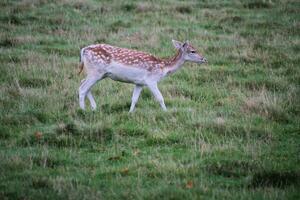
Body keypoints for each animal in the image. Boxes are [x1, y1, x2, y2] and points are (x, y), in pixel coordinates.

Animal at [78, 39, 207, 111]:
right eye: (193, 51)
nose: (204, 59)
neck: (163, 68)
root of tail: (84, 50)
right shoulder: (151, 80)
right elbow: (160, 98)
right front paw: (166, 112)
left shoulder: (139, 83)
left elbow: (134, 99)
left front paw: (130, 112)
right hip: (96, 71)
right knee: (82, 88)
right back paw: (83, 110)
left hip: (99, 73)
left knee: (83, 83)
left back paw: (94, 108)